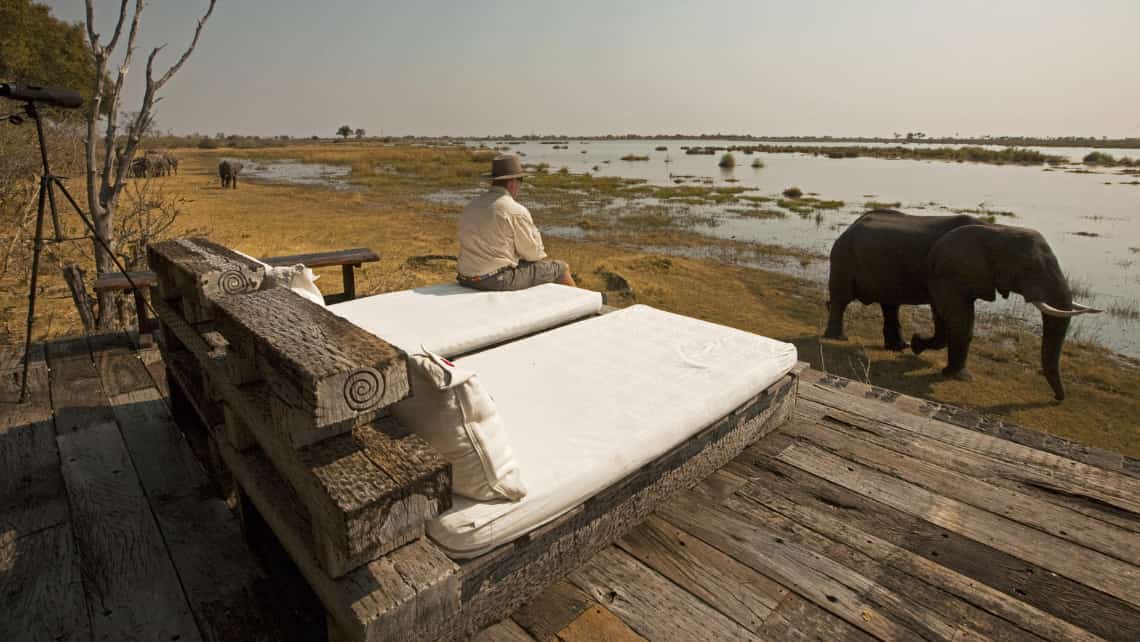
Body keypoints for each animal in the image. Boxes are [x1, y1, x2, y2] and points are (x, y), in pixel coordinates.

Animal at [825, 209, 1098, 401]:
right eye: (1029, 268)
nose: (1057, 399)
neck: (996, 230)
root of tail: (850, 226)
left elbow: (945, 316)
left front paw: (917, 347)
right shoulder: (949, 272)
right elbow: (958, 318)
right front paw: (956, 374)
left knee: (890, 306)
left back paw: (898, 347)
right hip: (842, 257)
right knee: (841, 299)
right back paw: (837, 338)